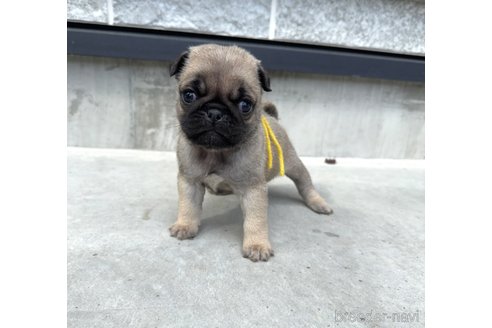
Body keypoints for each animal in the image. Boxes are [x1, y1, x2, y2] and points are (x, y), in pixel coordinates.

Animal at [167, 44, 332, 262]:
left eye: (245, 105)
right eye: (189, 95)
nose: (215, 112)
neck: (216, 152)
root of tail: (272, 117)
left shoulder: (253, 190)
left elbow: (255, 219)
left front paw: (257, 245)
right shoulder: (190, 181)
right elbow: (188, 206)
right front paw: (185, 225)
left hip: (293, 164)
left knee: (305, 183)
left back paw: (318, 202)